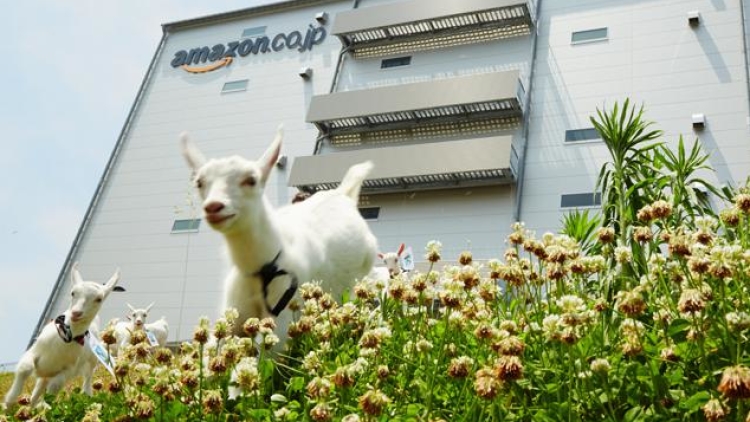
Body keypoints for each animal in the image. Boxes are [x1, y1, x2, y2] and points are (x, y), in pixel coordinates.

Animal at [4, 263, 120, 409]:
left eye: (99, 299)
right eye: (73, 293)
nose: (76, 313)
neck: (66, 337)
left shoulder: (69, 369)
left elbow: (55, 385)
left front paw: (45, 407)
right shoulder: (34, 351)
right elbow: (25, 368)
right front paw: (9, 403)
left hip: (91, 363)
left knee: (86, 382)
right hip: (45, 373)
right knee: (37, 391)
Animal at [180, 125, 378, 344]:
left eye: (251, 180)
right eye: (199, 182)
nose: (214, 207)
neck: (264, 268)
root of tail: (344, 193)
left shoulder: (284, 312)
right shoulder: (234, 313)